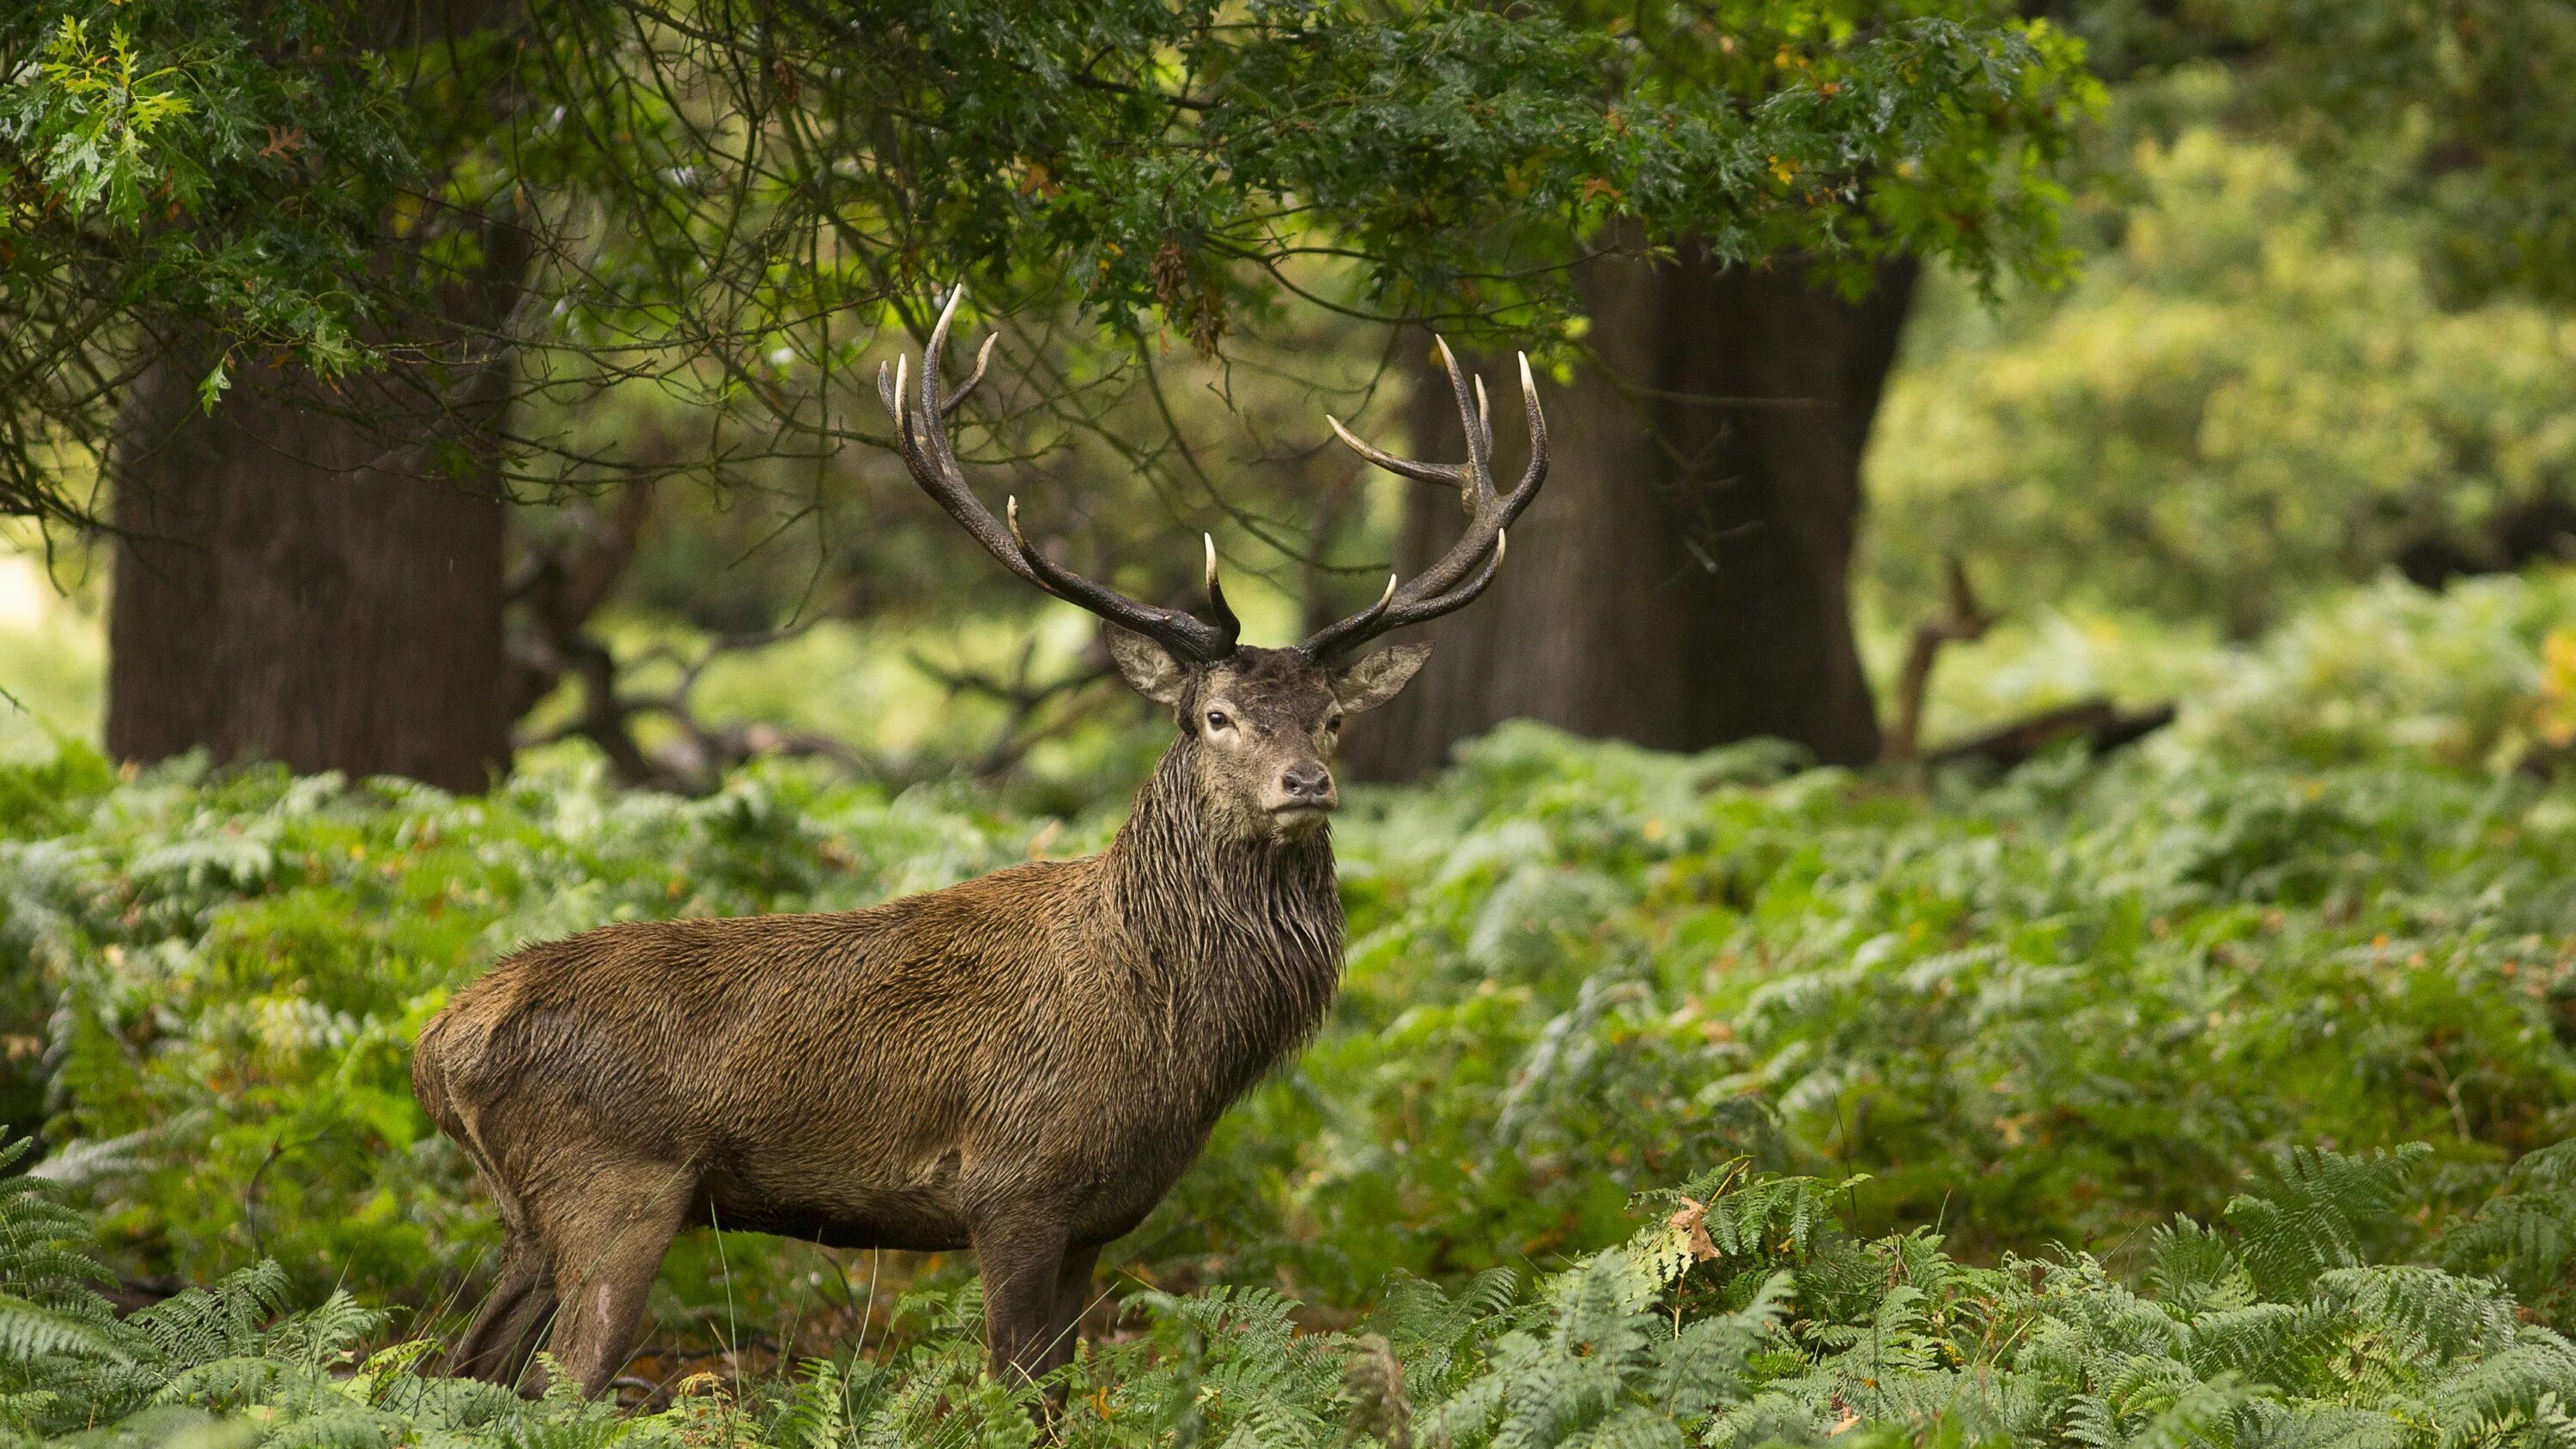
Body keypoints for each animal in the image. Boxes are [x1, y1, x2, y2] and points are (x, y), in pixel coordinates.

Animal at [412, 289, 1546, 1400]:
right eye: (1215, 716)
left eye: (1332, 717)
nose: (1307, 783)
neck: (1172, 1038)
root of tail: (439, 1041)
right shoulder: (1012, 1187)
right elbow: (1011, 1387)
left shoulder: (1098, 1220)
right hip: (618, 1187)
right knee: (563, 1383)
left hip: (534, 1216)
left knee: (464, 1370)